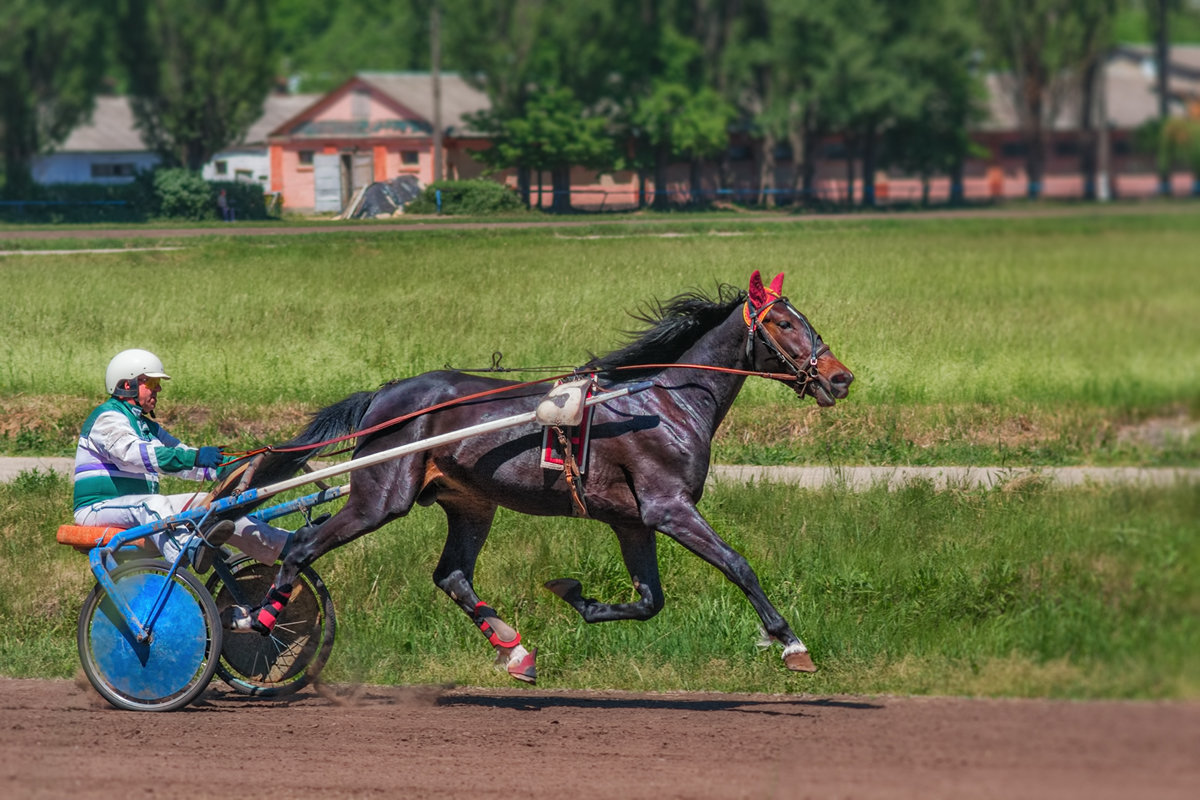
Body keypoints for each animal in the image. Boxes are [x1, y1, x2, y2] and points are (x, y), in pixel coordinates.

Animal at [223, 268, 854, 681]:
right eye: (783, 322)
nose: (840, 377)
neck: (667, 400)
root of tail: (387, 393)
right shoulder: (668, 507)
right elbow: (738, 566)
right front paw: (791, 644)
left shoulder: (633, 522)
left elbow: (649, 599)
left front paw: (578, 598)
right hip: (381, 498)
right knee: (301, 545)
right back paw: (259, 615)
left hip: (471, 503)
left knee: (452, 575)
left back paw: (513, 650)